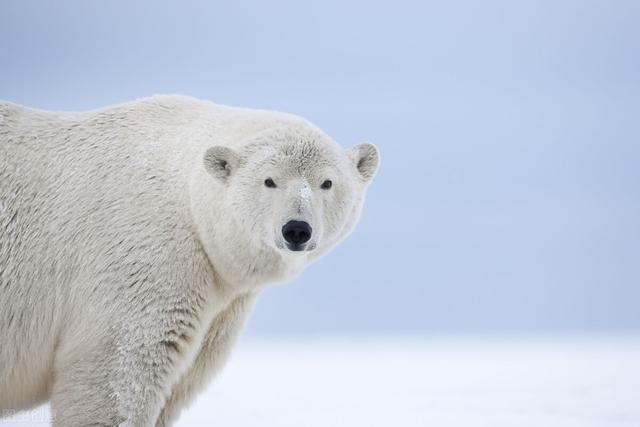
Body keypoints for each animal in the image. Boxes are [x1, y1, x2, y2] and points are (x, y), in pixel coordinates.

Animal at [0, 95, 380, 426]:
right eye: (269, 180)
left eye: (326, 182)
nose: (296, 229)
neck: (189, 202)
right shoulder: (143, 262)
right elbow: (114, 375)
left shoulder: (219, 303)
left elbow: (182, 378)